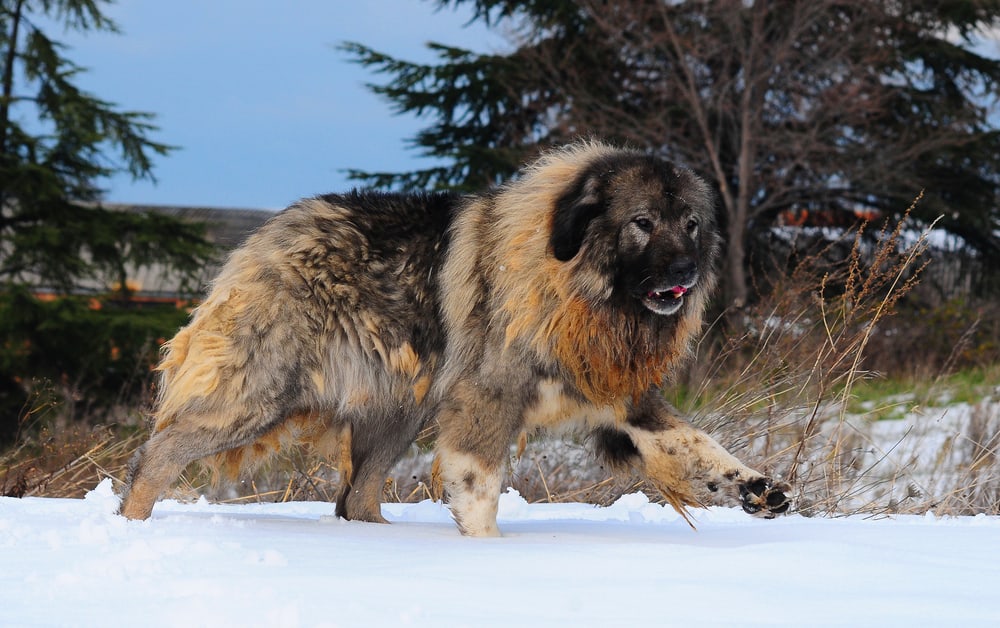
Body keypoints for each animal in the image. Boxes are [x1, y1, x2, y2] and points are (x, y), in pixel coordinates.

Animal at [119, 141, 788, 536]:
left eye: (691, 223)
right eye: (642, 224)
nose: (687, 272)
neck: (570, 281)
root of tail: (266, 235)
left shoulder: (623, 399)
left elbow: (698, 448)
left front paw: (756, 489)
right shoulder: (487, 399)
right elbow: (479, 487)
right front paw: (486, 552)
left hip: (398, 413)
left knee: (355, 498)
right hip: (259, 396)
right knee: (159, 452)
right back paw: (131, 526)